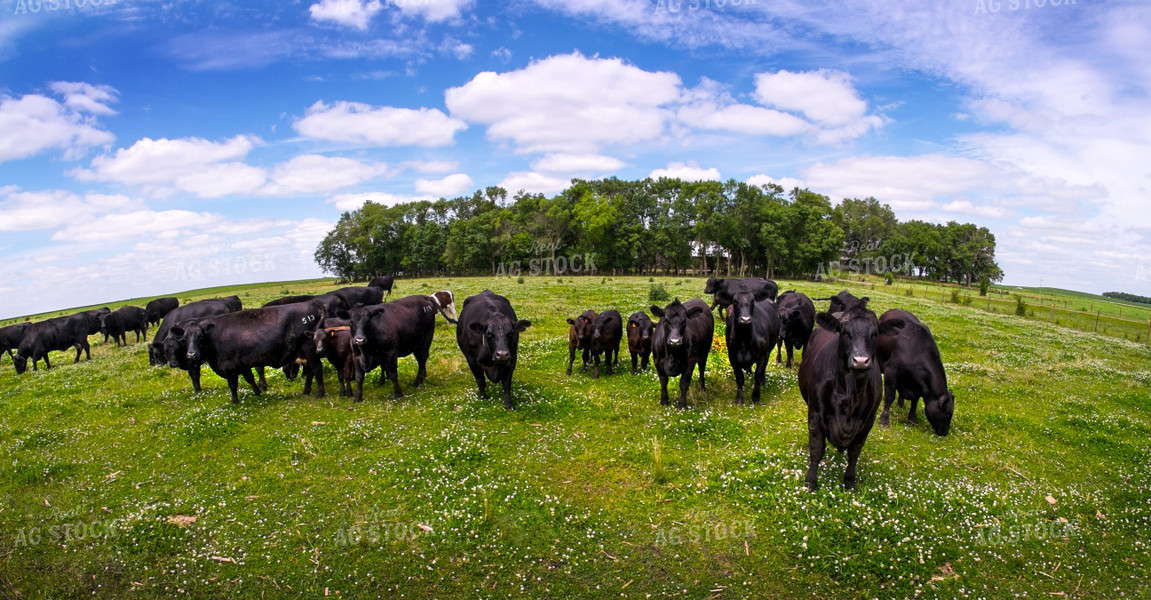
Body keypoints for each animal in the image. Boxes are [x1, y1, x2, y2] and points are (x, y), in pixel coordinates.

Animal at [172, 301, 331, 405]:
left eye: (200, 337)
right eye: (184, 339)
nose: (191, 355)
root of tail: (315, 304)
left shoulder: (229, 367)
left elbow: (233, 385)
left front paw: (234, 401)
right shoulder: (242, 365)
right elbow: (250, 379)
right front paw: (258, 392)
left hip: (310, 349)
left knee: (317, 369)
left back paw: (320, 393)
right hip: (305, 353)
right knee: (310, 370)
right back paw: (306, 390)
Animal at [796, 299, 902, 490]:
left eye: (875, 333)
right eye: (844, 331)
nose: (860, 361)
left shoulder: (868, 420)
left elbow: (855, 451)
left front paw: (849, 480)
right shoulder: (815, 413)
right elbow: (817, 448)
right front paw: (810, 481)